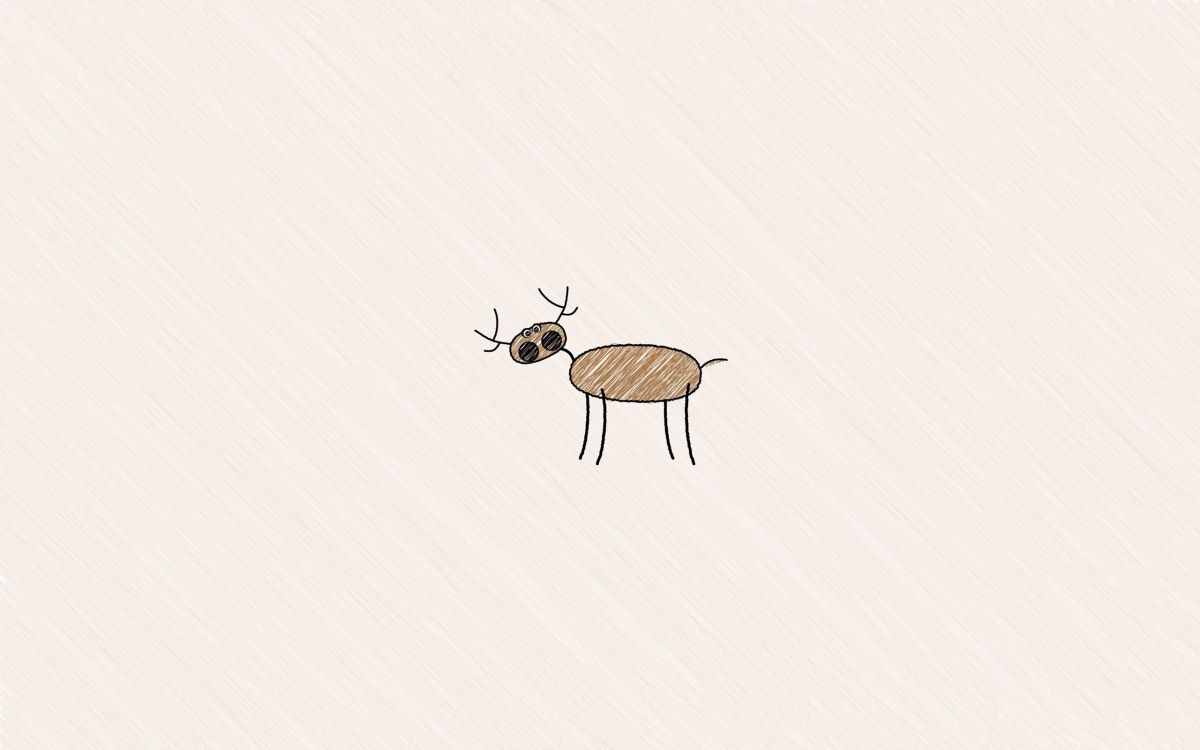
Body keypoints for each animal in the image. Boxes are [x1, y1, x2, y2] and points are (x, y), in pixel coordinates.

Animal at [474, 287, 727, 465]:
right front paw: (588, 455)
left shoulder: (599, 394)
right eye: (526, 348)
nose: (530, 334)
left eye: (548, 337)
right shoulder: (593, 395)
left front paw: (592, 456)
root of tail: (699, 367)